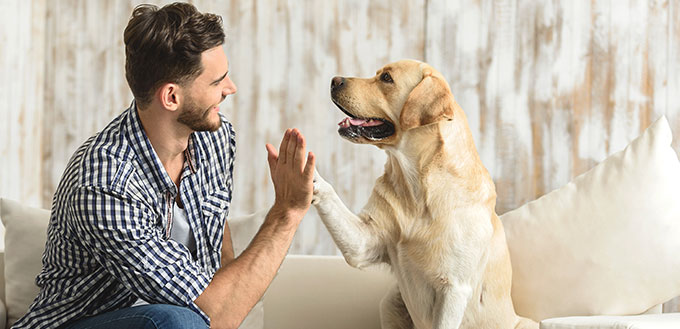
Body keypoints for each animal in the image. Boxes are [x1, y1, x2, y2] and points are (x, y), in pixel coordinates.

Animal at [310, 59, 540, 328]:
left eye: (386, 78)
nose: (334, 80)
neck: (417, 186)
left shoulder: (454, 288)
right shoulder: (364, 242)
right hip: (391, 302)